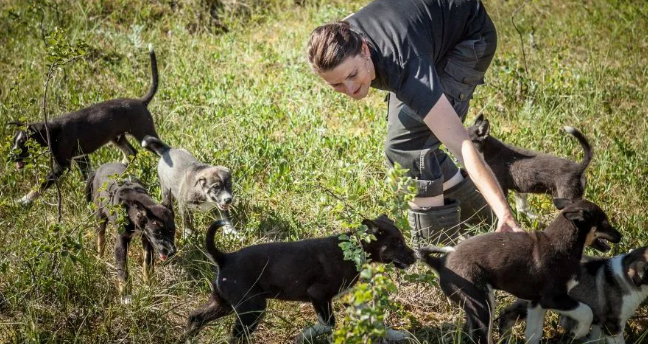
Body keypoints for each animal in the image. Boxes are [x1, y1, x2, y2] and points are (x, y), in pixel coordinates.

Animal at [86, 162, 177, 304]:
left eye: (173, 231)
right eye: (157, 233)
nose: (172, 252)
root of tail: (98, 169)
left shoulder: (147, 240)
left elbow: (147, 264)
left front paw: (148, 286)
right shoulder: (121, 243)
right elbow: (123, 270)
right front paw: (126, 296)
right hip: (100, 216)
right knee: (100, 241)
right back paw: (99, 261)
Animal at [185, 216, 418, 342]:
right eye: (397, 243)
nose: (415, 256)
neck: (355, 248)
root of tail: (224, 258)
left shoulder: (351, 297)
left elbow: (376, 320)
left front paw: (396, 335)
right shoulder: (319, 295)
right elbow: (328, 323)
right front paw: (305, 336)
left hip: (224, 303)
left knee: (195, 317)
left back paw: (186, 338)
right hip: (253, 308)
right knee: (234, 337)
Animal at [420, 199, 624, 344]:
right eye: (604, 223)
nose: (620, 236)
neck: (562, 245)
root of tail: (440, 262)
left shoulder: (536, 303)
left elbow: (534, 333)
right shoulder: (553, 298)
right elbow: (586, 311)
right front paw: (579, 331)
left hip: (476, 306)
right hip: (481, 303)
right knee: (481, 336)